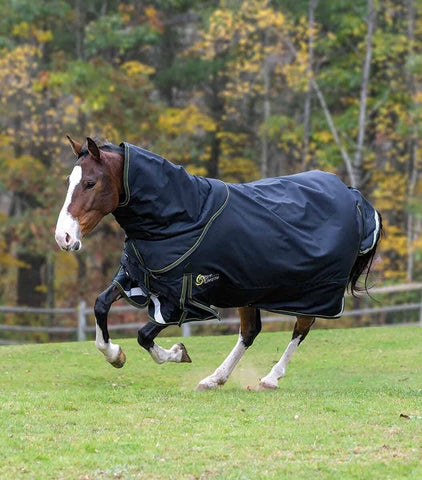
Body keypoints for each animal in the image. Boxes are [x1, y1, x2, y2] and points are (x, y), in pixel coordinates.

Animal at [55, 136, 382, 390]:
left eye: (90, 183)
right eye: (69, 182)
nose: (64, 237)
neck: (182, 215)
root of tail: (354, 197)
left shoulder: (181, 300)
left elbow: (144, 335)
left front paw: (178, 353)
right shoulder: (137, 277)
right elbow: (100, 305)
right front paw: (115, 355)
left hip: (312, 292)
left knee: (301, 328)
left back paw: (270, 378)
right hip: (250, 290)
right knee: (250, 332)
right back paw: (215, 379)